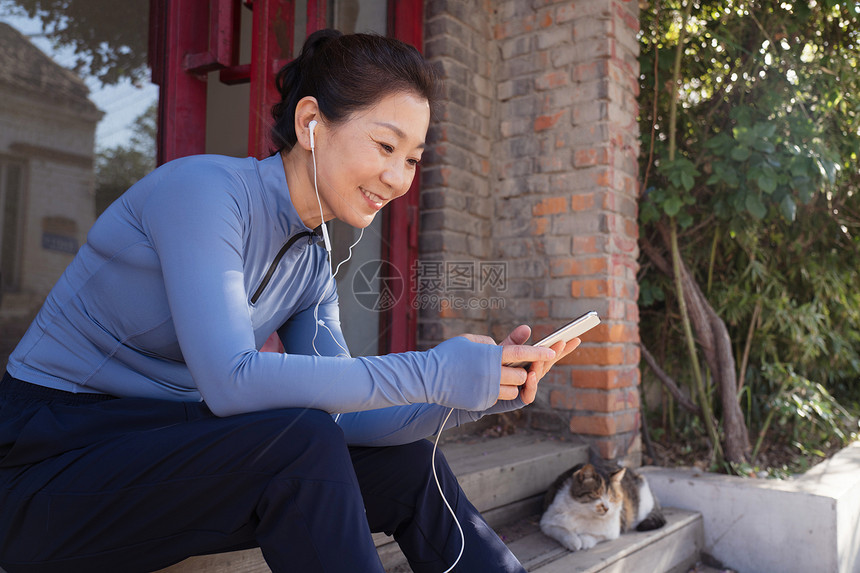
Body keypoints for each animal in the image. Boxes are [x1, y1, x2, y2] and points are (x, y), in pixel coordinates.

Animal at [536, 460, 664, 548]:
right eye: (596, 494)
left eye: (612, 497)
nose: (606, 508)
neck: (585, 514)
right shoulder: (548, 522)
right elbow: (564, 532)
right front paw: (574, 542)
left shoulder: (613, 530)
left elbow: (594, 536)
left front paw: (584, 540)